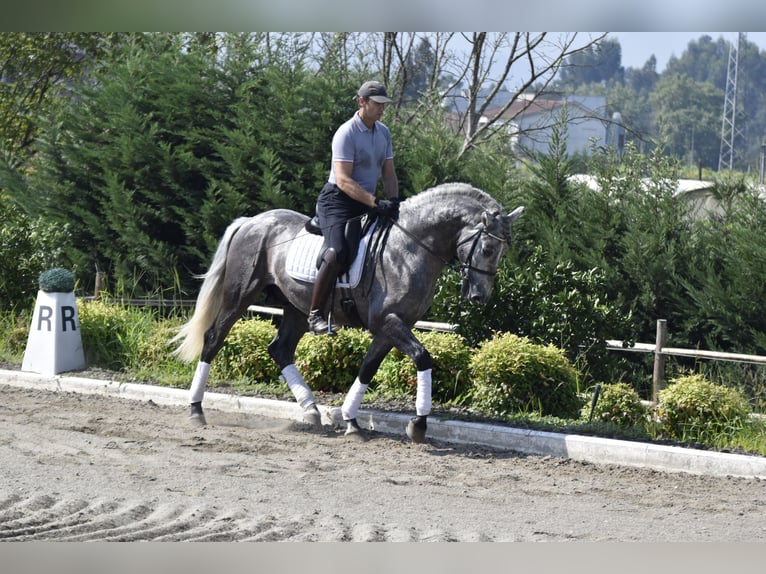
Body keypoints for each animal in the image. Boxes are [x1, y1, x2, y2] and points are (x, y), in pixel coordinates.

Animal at [171, 182, 523, 443]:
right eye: (488, 249)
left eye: (503, 252)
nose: (479, 297)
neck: (411, 248)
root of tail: (252, 222)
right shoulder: (388, 321)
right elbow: (422, 357)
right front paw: (419, 424)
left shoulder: (393, 326)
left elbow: (368, 368)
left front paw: (352, 421)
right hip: (240, 296)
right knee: (214, 337)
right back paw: (196, 409)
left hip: (296, 307)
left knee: (280, 349)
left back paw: (311, 410)